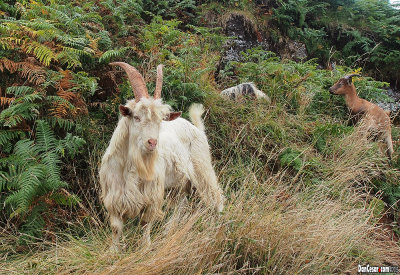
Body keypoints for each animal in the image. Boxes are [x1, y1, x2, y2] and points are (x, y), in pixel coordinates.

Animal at [100, 62, 225, 252]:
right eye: (136, 117)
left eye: (160, 121)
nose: (152, 142)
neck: (130, 167)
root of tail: (197, 128)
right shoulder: (114, 197)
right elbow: (116, 228)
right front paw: (113, 252)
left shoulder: (151, 196)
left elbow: (145, 223)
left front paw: (145, 248)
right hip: (179, 184)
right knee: (181, 203)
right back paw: (169, 229)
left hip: (203, 170)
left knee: (215, 199)